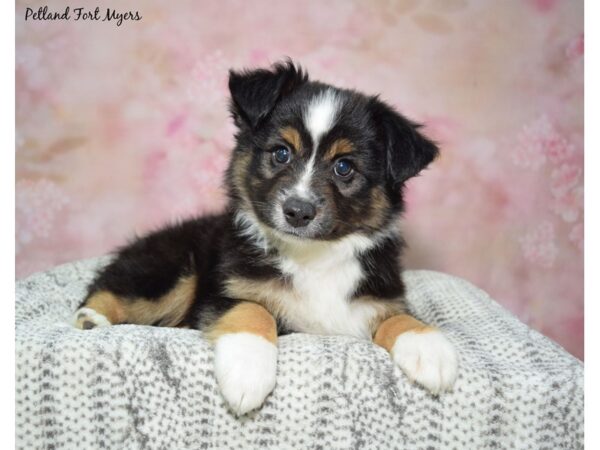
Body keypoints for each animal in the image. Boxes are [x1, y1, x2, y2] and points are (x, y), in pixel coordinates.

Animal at [75, 59, 460, 414]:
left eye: (344, 167)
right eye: (281, 152)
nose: (298, 211)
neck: (312, 256)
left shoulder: (379, 297)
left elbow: (401, 316)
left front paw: (430, 349)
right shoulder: (222, 291)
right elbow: (252, 309)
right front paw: (247, 371)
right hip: (174, 268)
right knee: (111, 287)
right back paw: (92, 318)